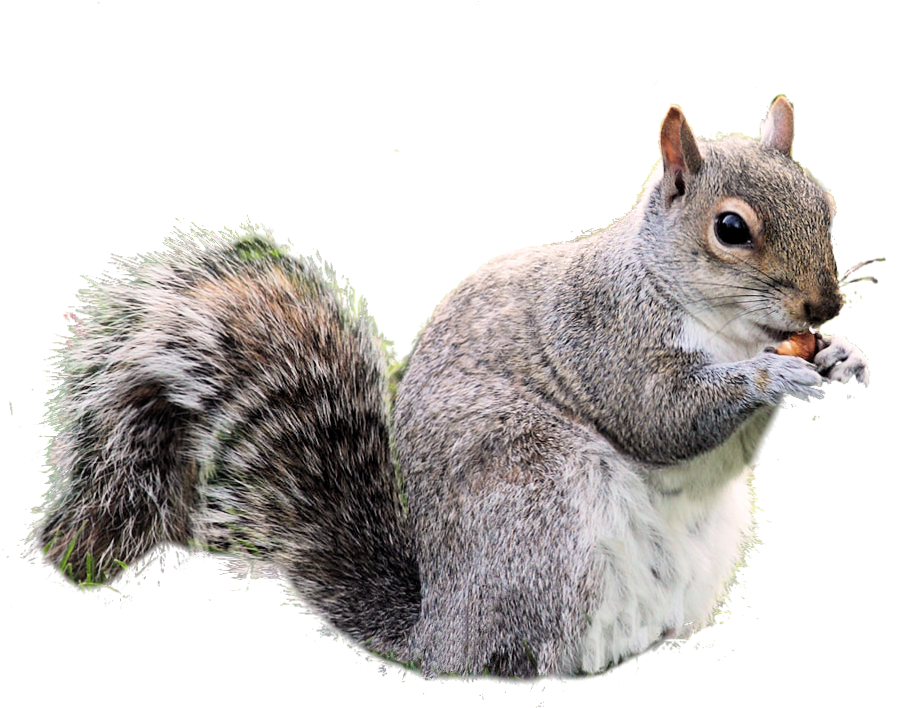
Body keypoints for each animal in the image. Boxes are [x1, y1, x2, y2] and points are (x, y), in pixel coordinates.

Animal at [24, 96, 874, 684]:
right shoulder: (604, 337)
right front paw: (774, 373)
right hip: (539, 506)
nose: (824, 305)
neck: (723, 324)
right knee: (522, 658)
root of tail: (439, 635)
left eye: (829, 205)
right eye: (731, 229)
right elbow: (661, 418)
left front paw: (844, 355)